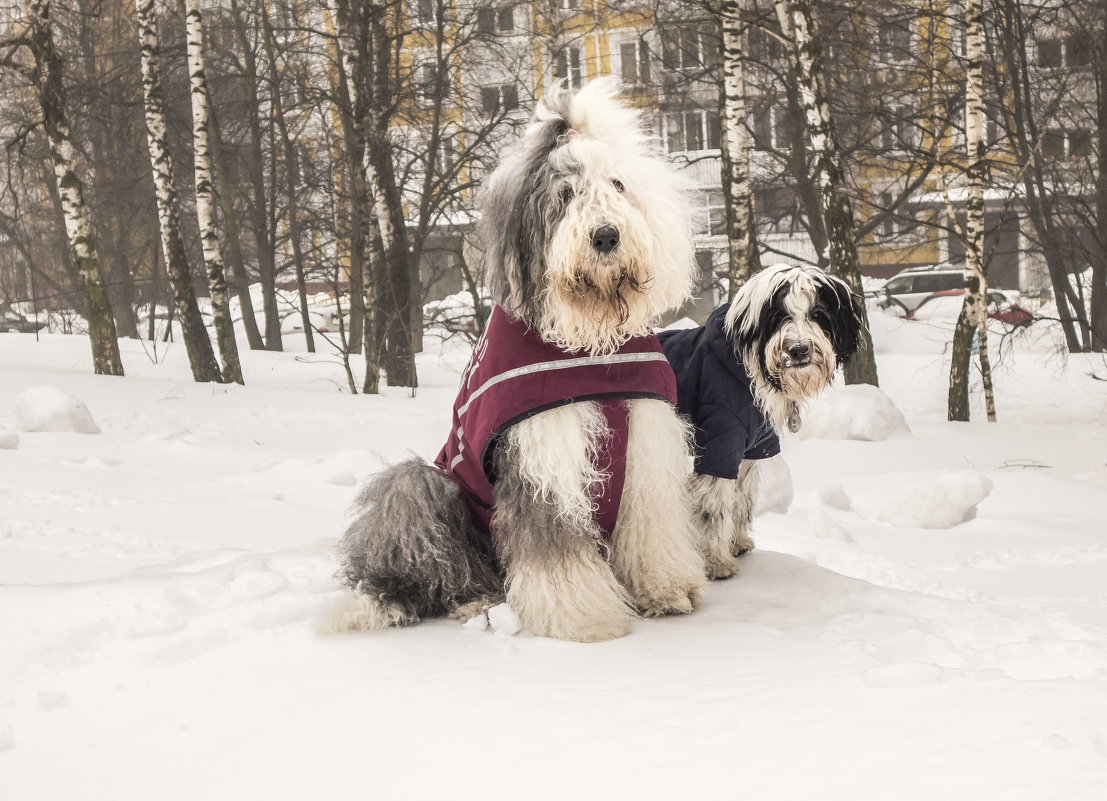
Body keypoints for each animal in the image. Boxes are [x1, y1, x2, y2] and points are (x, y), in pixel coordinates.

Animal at [323, 79, 704, 646]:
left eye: (617, 184)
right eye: (565, 195)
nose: (606, 236)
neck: (590, 345)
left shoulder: (645, 445)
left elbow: (650, 526)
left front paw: (667, 590)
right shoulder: (545, 456)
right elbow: (555, 548)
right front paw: (583, 619)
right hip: (425, 487)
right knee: (433, 544)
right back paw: (469, 601)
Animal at [655, 265, 863, 579]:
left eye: (817, 313)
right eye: (779, 316)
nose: (798, 350)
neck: (752, 370)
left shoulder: (752, 449)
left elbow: (741, 499)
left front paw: (736, 543)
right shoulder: (721, 444)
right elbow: (713, 508)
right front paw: (716, 561)